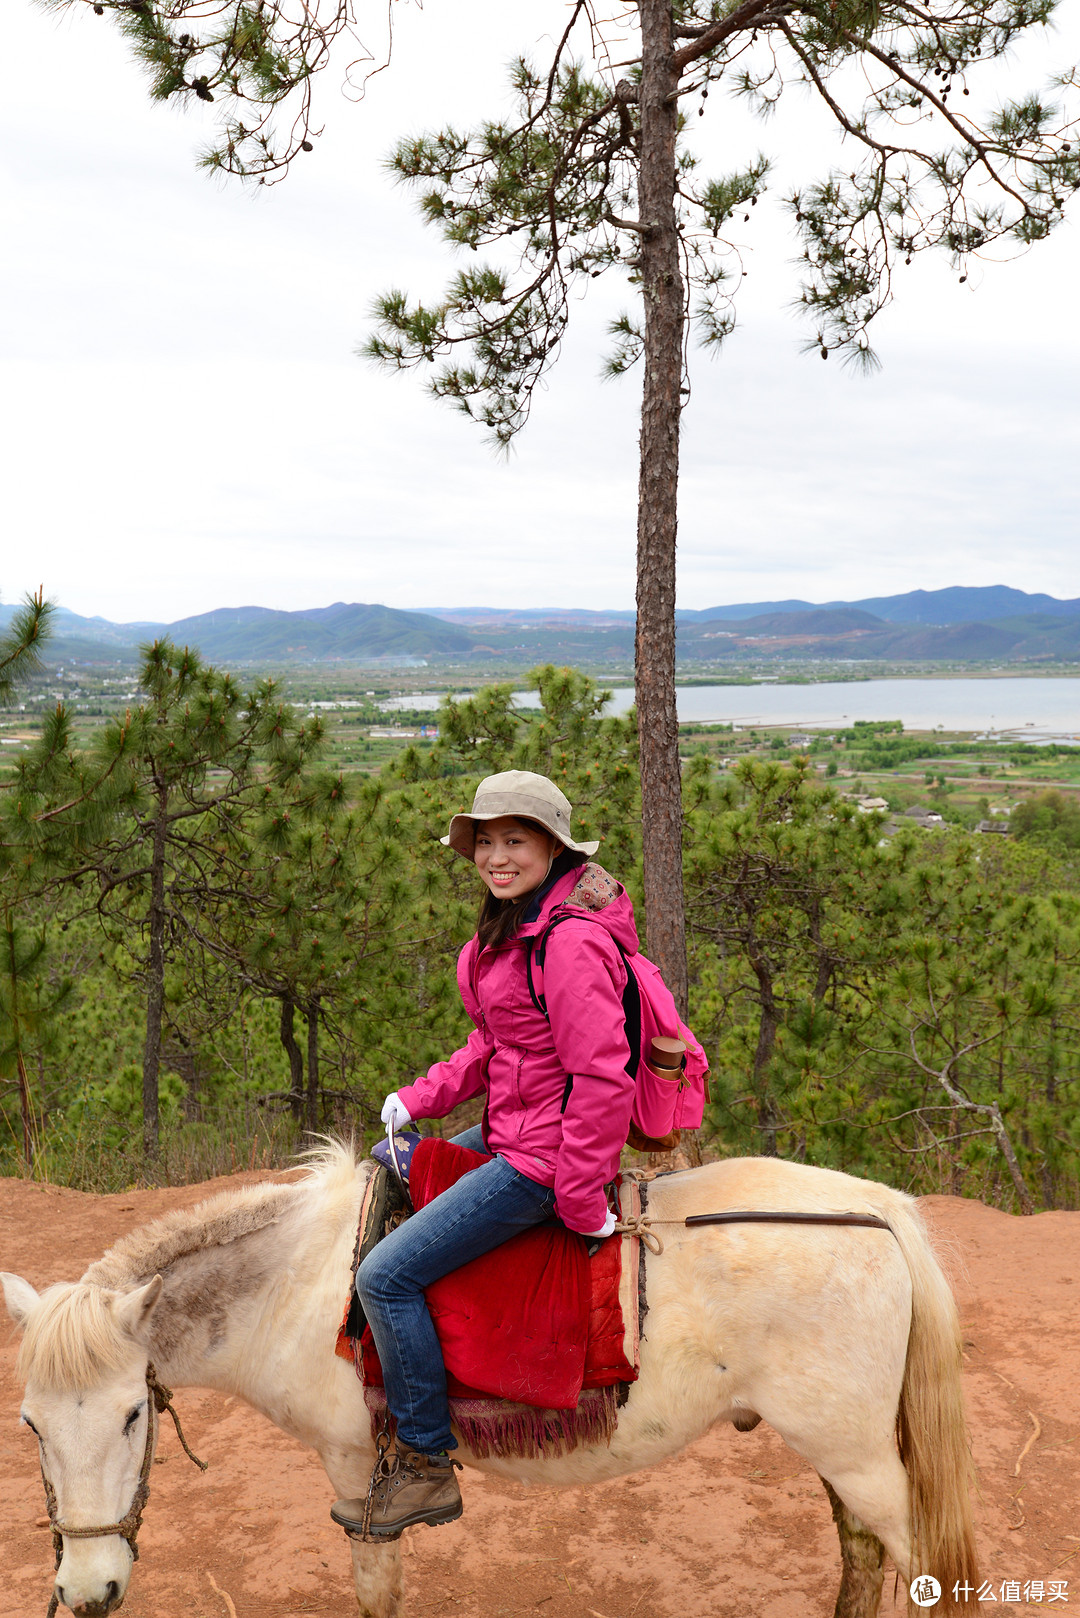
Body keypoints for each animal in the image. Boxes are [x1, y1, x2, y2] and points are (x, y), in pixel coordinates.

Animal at [2, 1145, 977, 1611]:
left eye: (132, 1417)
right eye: (32, 1427)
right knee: (860, 1556)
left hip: (855, 1453)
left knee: (920, 1564)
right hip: (839, 1448)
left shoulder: (356, 1472)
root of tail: (881, 1212)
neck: (299, 1284)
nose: (87, 1595)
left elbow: (376, 1590)